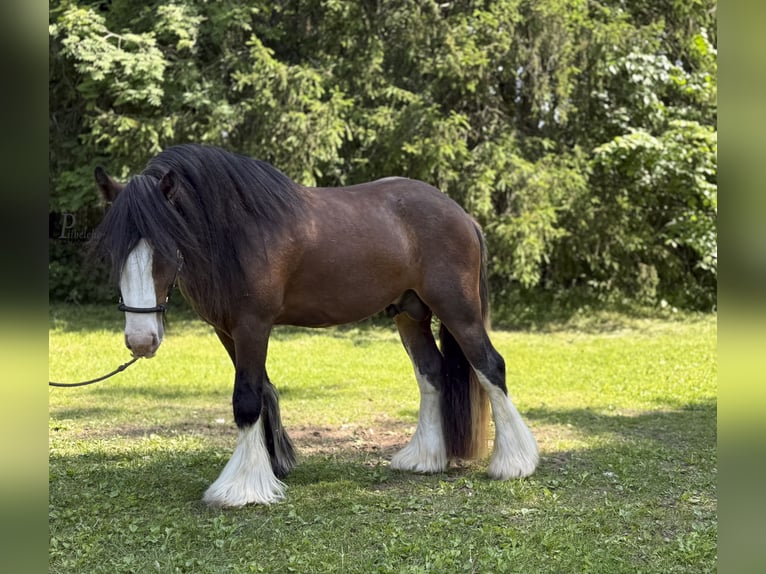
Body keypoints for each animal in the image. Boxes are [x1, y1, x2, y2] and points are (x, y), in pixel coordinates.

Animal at [90, 143, 538, 507]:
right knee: (431, 373)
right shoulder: (227, 330)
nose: (141, 341)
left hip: (458, 308)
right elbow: (262, 390)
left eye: (166, 247)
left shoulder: (253, 325)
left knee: (490, 367)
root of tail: (461, 214)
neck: (239, 230)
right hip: (410, 313)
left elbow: (246, 398)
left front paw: (241, 489)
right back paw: (423, 459)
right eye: (111, 251)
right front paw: (272, 467)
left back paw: (514, 463)